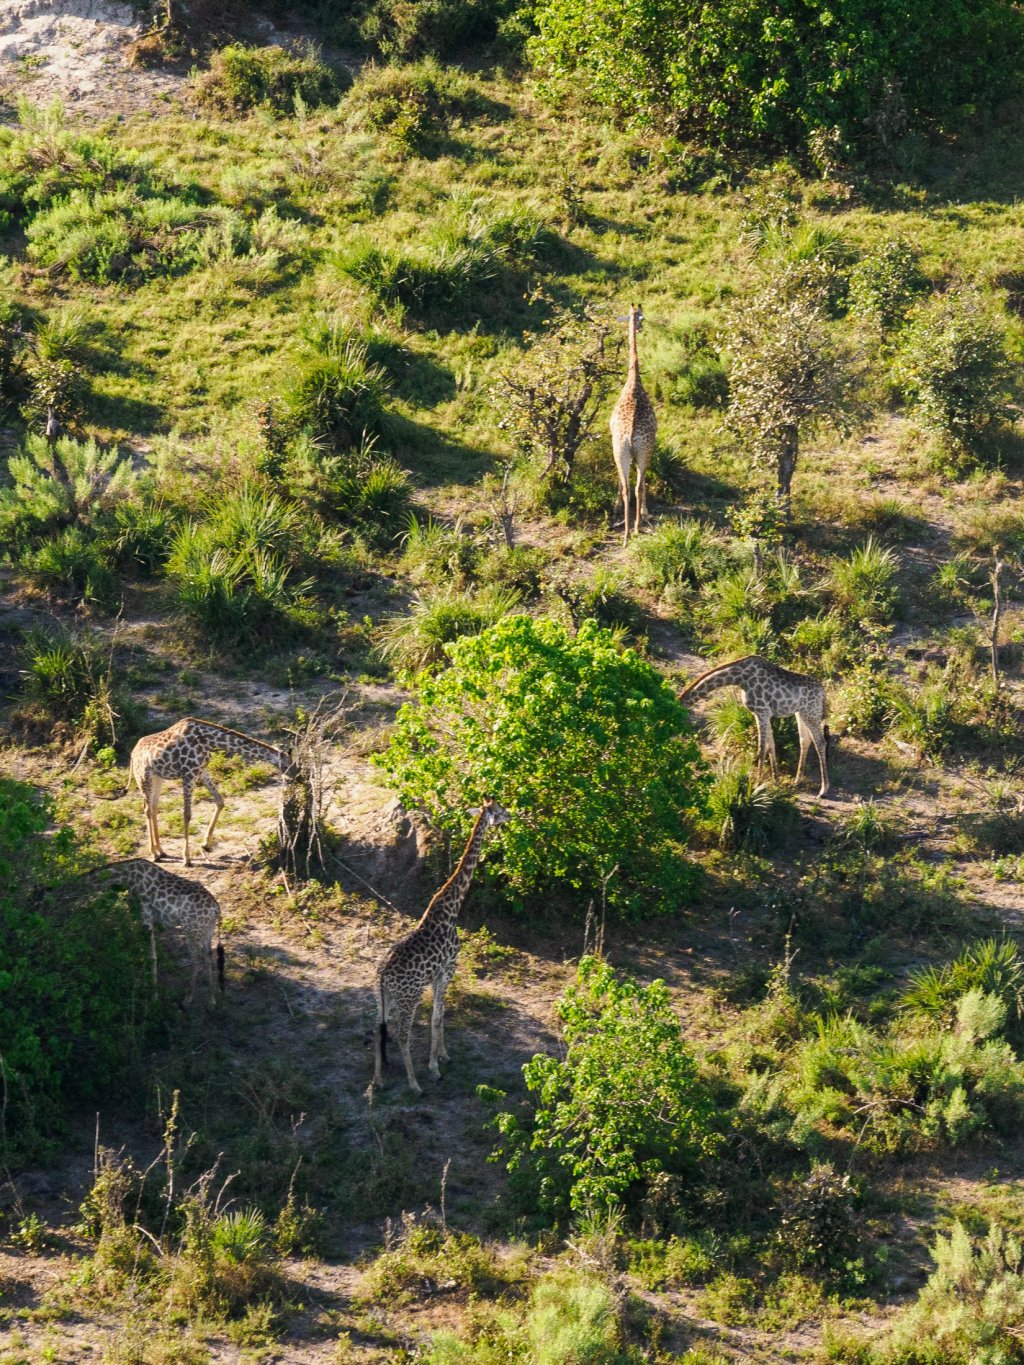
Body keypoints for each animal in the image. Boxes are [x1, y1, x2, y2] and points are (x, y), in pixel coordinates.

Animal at [80, 859, 224, 1004]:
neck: (125, 878)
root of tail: (215, 909)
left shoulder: (145, 917)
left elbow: (151, 955)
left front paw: (153, 993)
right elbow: (148, 951)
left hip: (192, 930)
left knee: (197, 958)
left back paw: (188, 997)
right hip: (207, 930)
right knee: (208, 955)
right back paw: (212, 998)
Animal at [129, 718, 293, 866]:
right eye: (289, 765)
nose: (296, 777)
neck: (207, 740)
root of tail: (132, 753)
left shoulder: (201, 771)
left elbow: (220, 801)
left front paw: (206, 843)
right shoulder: (189, 774)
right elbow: (187, 814)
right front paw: (186, 858)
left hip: (158, 778)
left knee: (154, 808)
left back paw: (161, 851)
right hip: (143, 776)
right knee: (147, 809)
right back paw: (154, 853)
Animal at [371, 799, 512, 1095]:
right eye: (499, 809)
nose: (510, 815)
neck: (451, 908)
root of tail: (383, 976)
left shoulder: (438, 975)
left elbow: (442, 1014)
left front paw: (443, 1055)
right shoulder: (448, 968)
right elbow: (436, 1017)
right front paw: (434, 1067)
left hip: (384, 996)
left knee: (378, 1030)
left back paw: (378, 1080)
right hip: (409, 996)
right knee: (401, 1033)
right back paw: (414, 1084)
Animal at [680, 655, 831, 797]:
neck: (740, 679)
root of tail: (823, 694)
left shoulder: (762, 712)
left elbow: (761, 748)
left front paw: (757, 784)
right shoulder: (763, 714)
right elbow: (771, 746)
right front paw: (776, 780)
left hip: (811, 714)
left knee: (820, 743)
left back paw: (823, 790)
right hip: (800, 713)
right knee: (805, 741)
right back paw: (797, 781)